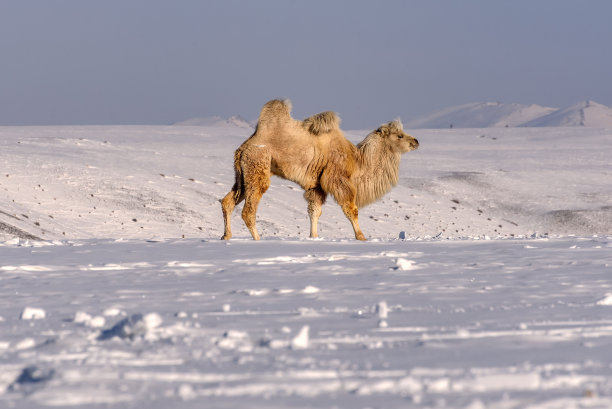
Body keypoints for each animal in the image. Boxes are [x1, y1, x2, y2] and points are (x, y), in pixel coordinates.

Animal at [221, 99, 420, 239]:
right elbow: (351, 208)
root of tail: (246, 146)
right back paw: (258, 239)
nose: (416, 141)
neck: (356, 160)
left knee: (228, 201)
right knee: (249, 210)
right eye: (399, 135)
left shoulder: (316, 186)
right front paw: (361, 237)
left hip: (242, 173)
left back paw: (226, 236)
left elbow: (314, 211)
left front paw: (314, 237)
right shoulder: (337, 178)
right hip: (258, 164)